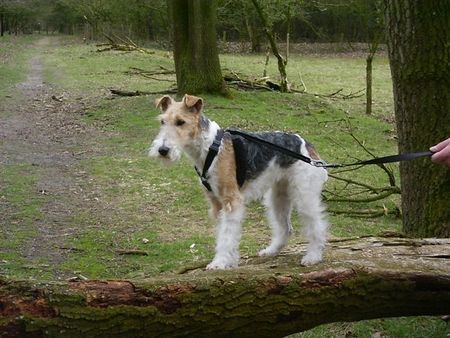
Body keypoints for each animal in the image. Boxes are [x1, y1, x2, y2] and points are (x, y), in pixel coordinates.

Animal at [148, 93, 326, 270]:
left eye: (181, 122)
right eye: (162, 121)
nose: (163, 150)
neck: (209, 147)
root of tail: (306, 145)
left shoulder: (231, 200)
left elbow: (226, 236)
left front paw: (219, 262)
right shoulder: (216, 203)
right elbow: (223, 235)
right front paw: (229, 260)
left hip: (304, 195)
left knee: (317, 226)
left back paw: (313, 256)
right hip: (278, 197)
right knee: (285, 229)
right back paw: (271, 251)